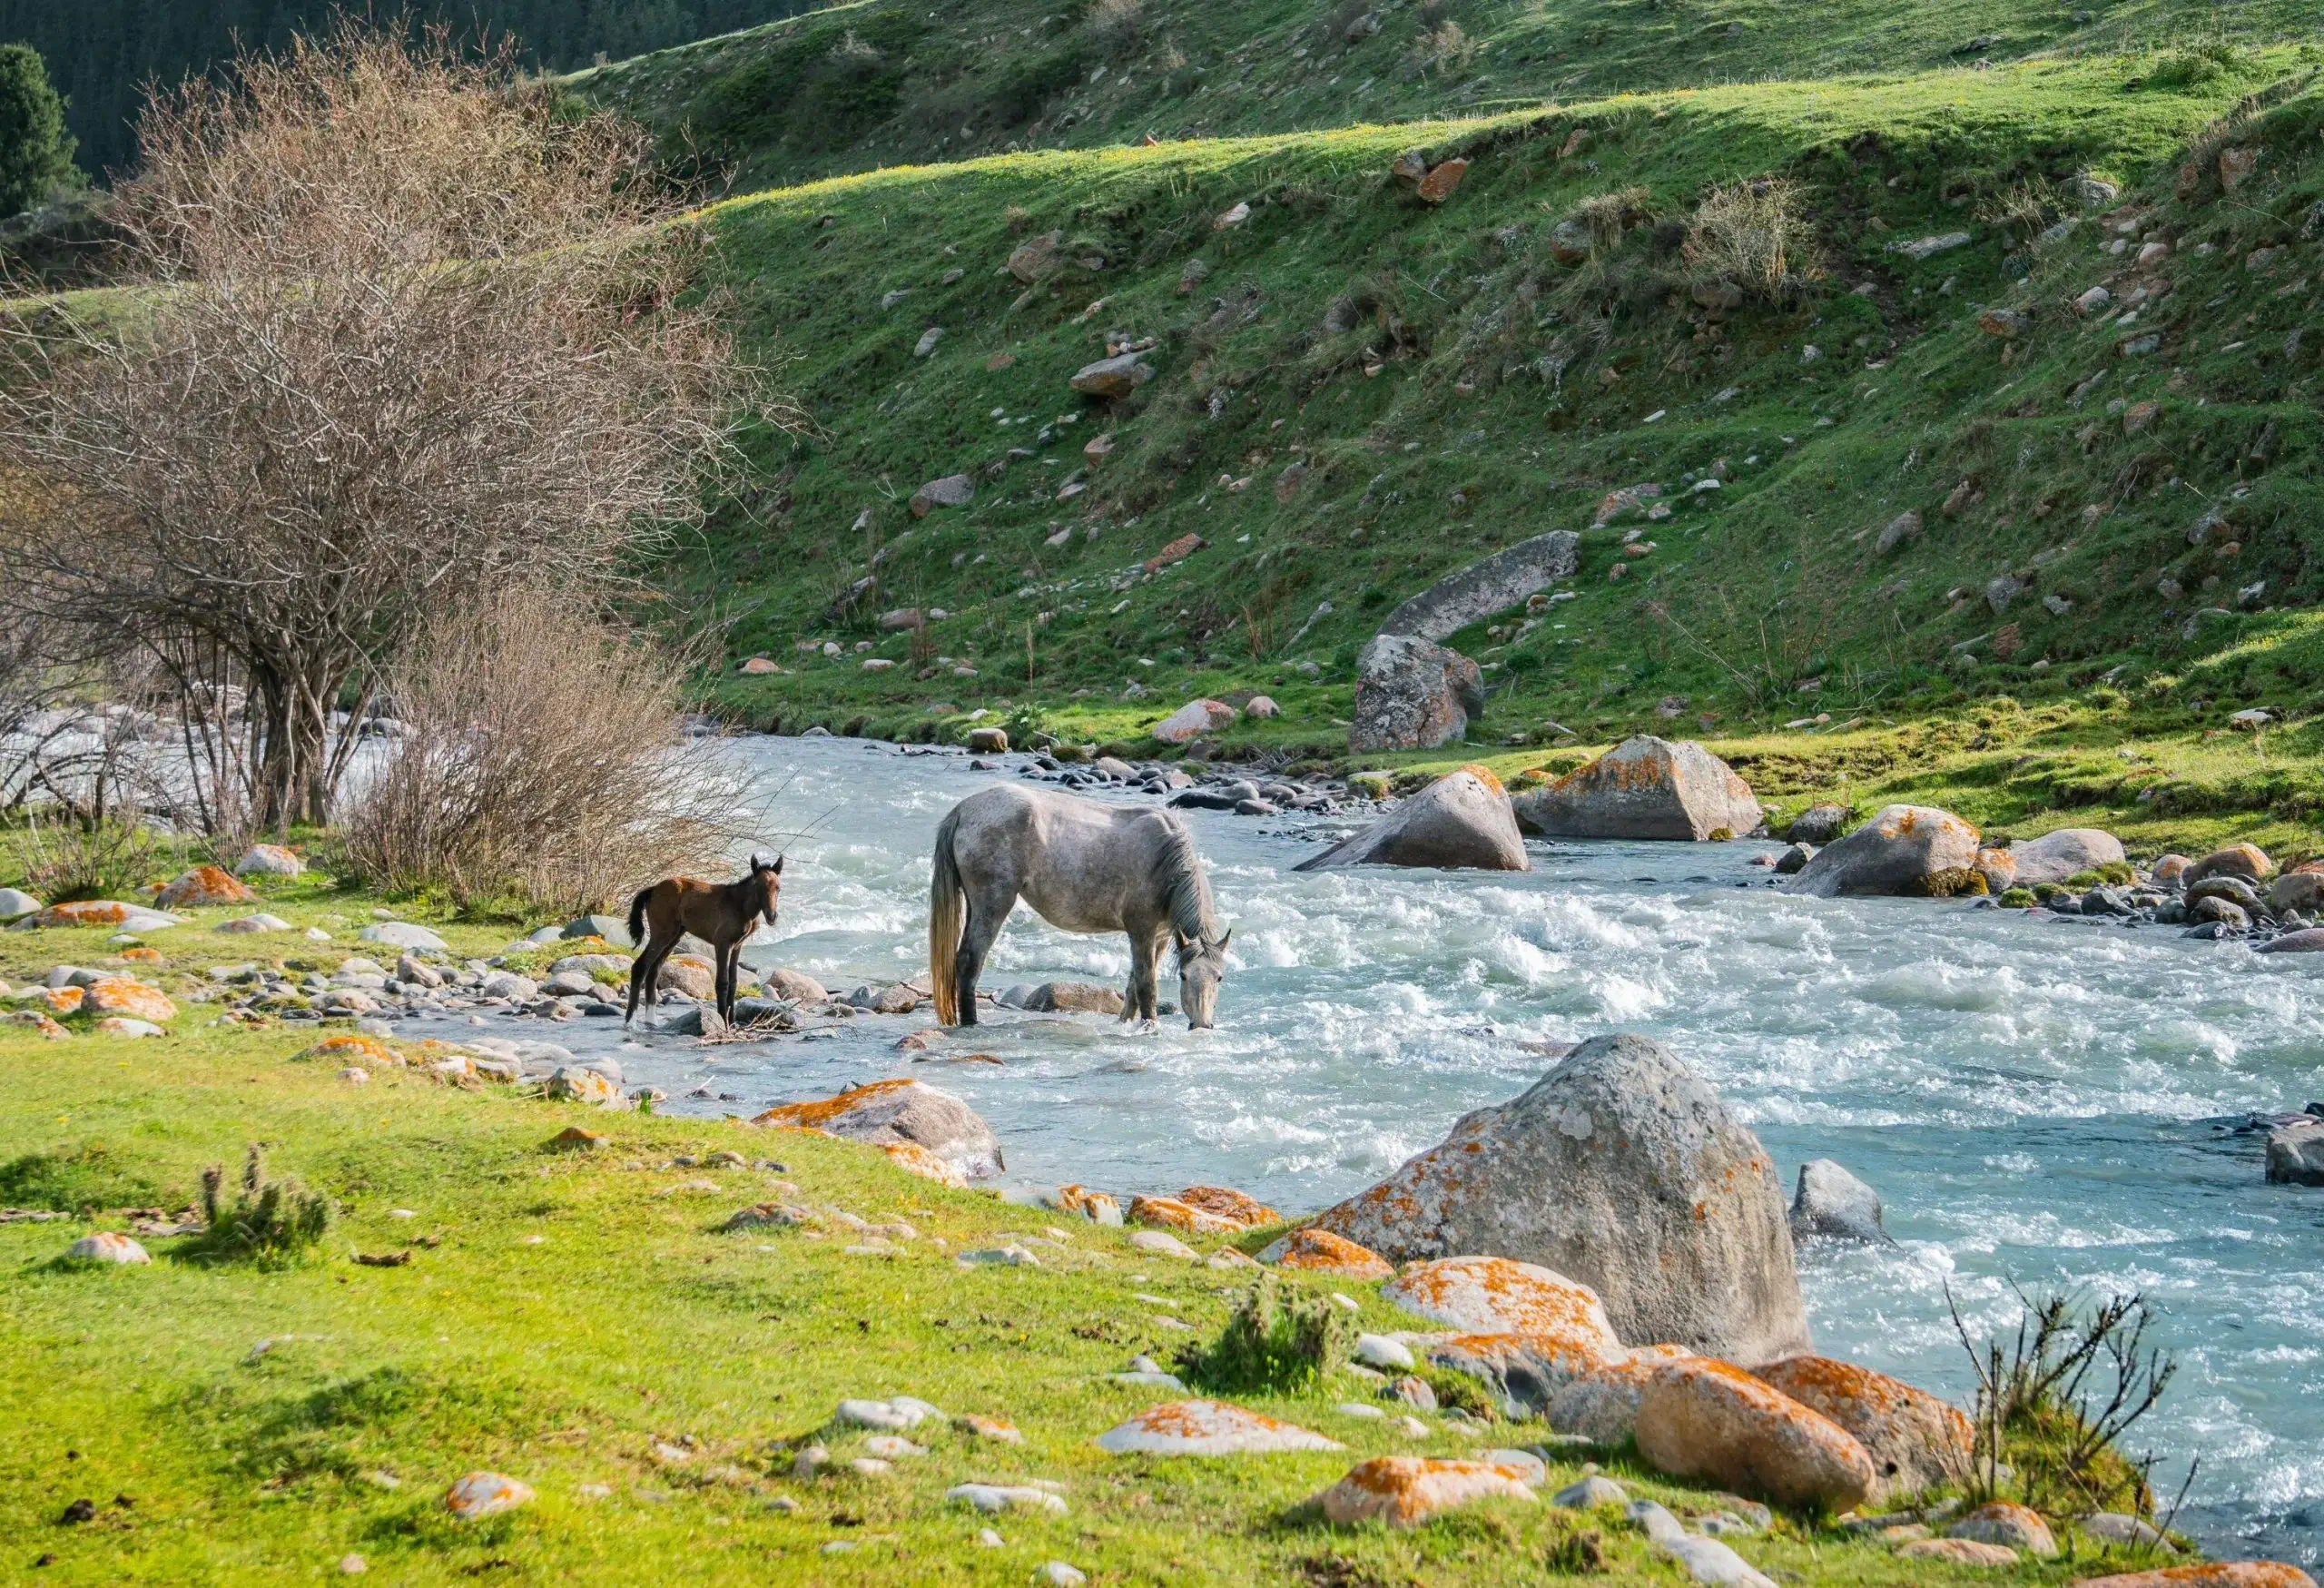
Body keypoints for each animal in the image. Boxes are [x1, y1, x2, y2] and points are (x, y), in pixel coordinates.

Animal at [624, 854, 783, 1026]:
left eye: (778, 888)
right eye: (758, 885)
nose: (772, 916)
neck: (740, 906)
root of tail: (653, 889)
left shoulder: (737, 946)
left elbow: (733, 982)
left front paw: (732, 1023)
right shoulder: (722, 943)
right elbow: (722, 982)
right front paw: (723, 1022)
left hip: (674, 936)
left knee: (654, 971)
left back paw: (652, 1022)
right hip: (662, 934)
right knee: (640, 967)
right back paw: (630, 1022)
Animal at [929, 784, 1230, 1030]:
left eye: (1219, 978)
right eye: (1184, 976)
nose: (1202, 1026)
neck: (1163, 861)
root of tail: (964, 810)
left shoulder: (1161, 937)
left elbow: (1134, 985)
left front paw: (1123, 1023)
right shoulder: (1141, 931)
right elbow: (1147, 986)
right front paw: (1148, 1027)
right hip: (992, 903)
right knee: (970, 960)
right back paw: (971, 1023)